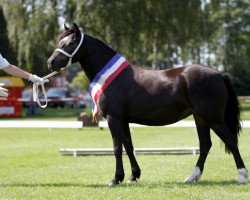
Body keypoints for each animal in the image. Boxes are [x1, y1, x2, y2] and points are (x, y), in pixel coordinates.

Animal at [47, 23, 248, 186]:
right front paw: (133, 176)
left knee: (230, 140)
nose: (51, 62)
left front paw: (116, 179)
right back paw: (192, 177)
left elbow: (117, 148)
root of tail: (219, 74)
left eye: (71, 43)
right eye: (60, 41)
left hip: (212, 118)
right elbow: (128, 147)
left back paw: (242, 176)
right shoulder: (124, 120)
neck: (113, 77)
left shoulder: (114, 118)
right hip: (200, 118)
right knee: (205, 145)